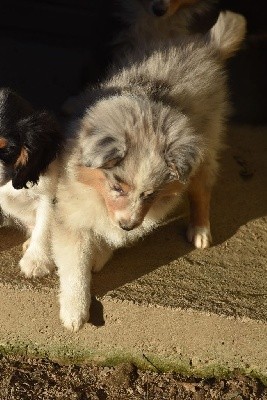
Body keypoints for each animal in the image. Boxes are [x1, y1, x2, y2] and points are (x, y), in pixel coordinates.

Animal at [52, 12, 247, 332]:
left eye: (150, 194)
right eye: (117, 187)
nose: (129, 226)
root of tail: (205, 47)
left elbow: (103, 241)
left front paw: (98, 258)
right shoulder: (72, 212)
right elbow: (75, 266)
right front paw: (74, 312)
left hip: (207, 145)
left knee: (201, 189)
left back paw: (200, 230)